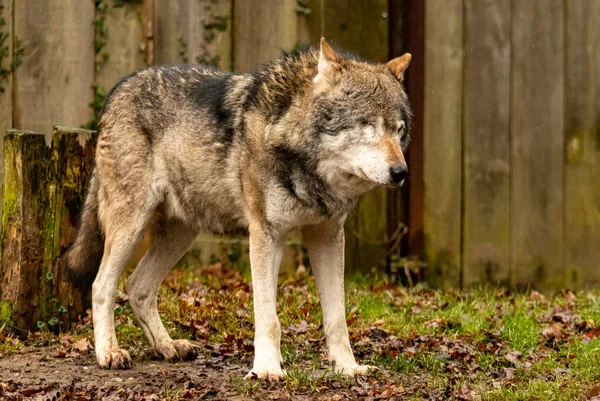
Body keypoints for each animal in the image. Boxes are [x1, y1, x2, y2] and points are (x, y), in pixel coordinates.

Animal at [67, 39, 412, 380]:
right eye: (367, 126)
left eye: (398, 130)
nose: (401, 172)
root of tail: (117, 90)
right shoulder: (265, 234)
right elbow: (268, 317)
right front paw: (267, 369)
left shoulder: (326, 234)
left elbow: (337, 317)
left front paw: (347, 367)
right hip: (132, 227)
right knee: (101, 285)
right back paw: (108, 353)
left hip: (180, 234)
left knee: (137, 287)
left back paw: (167, 346)